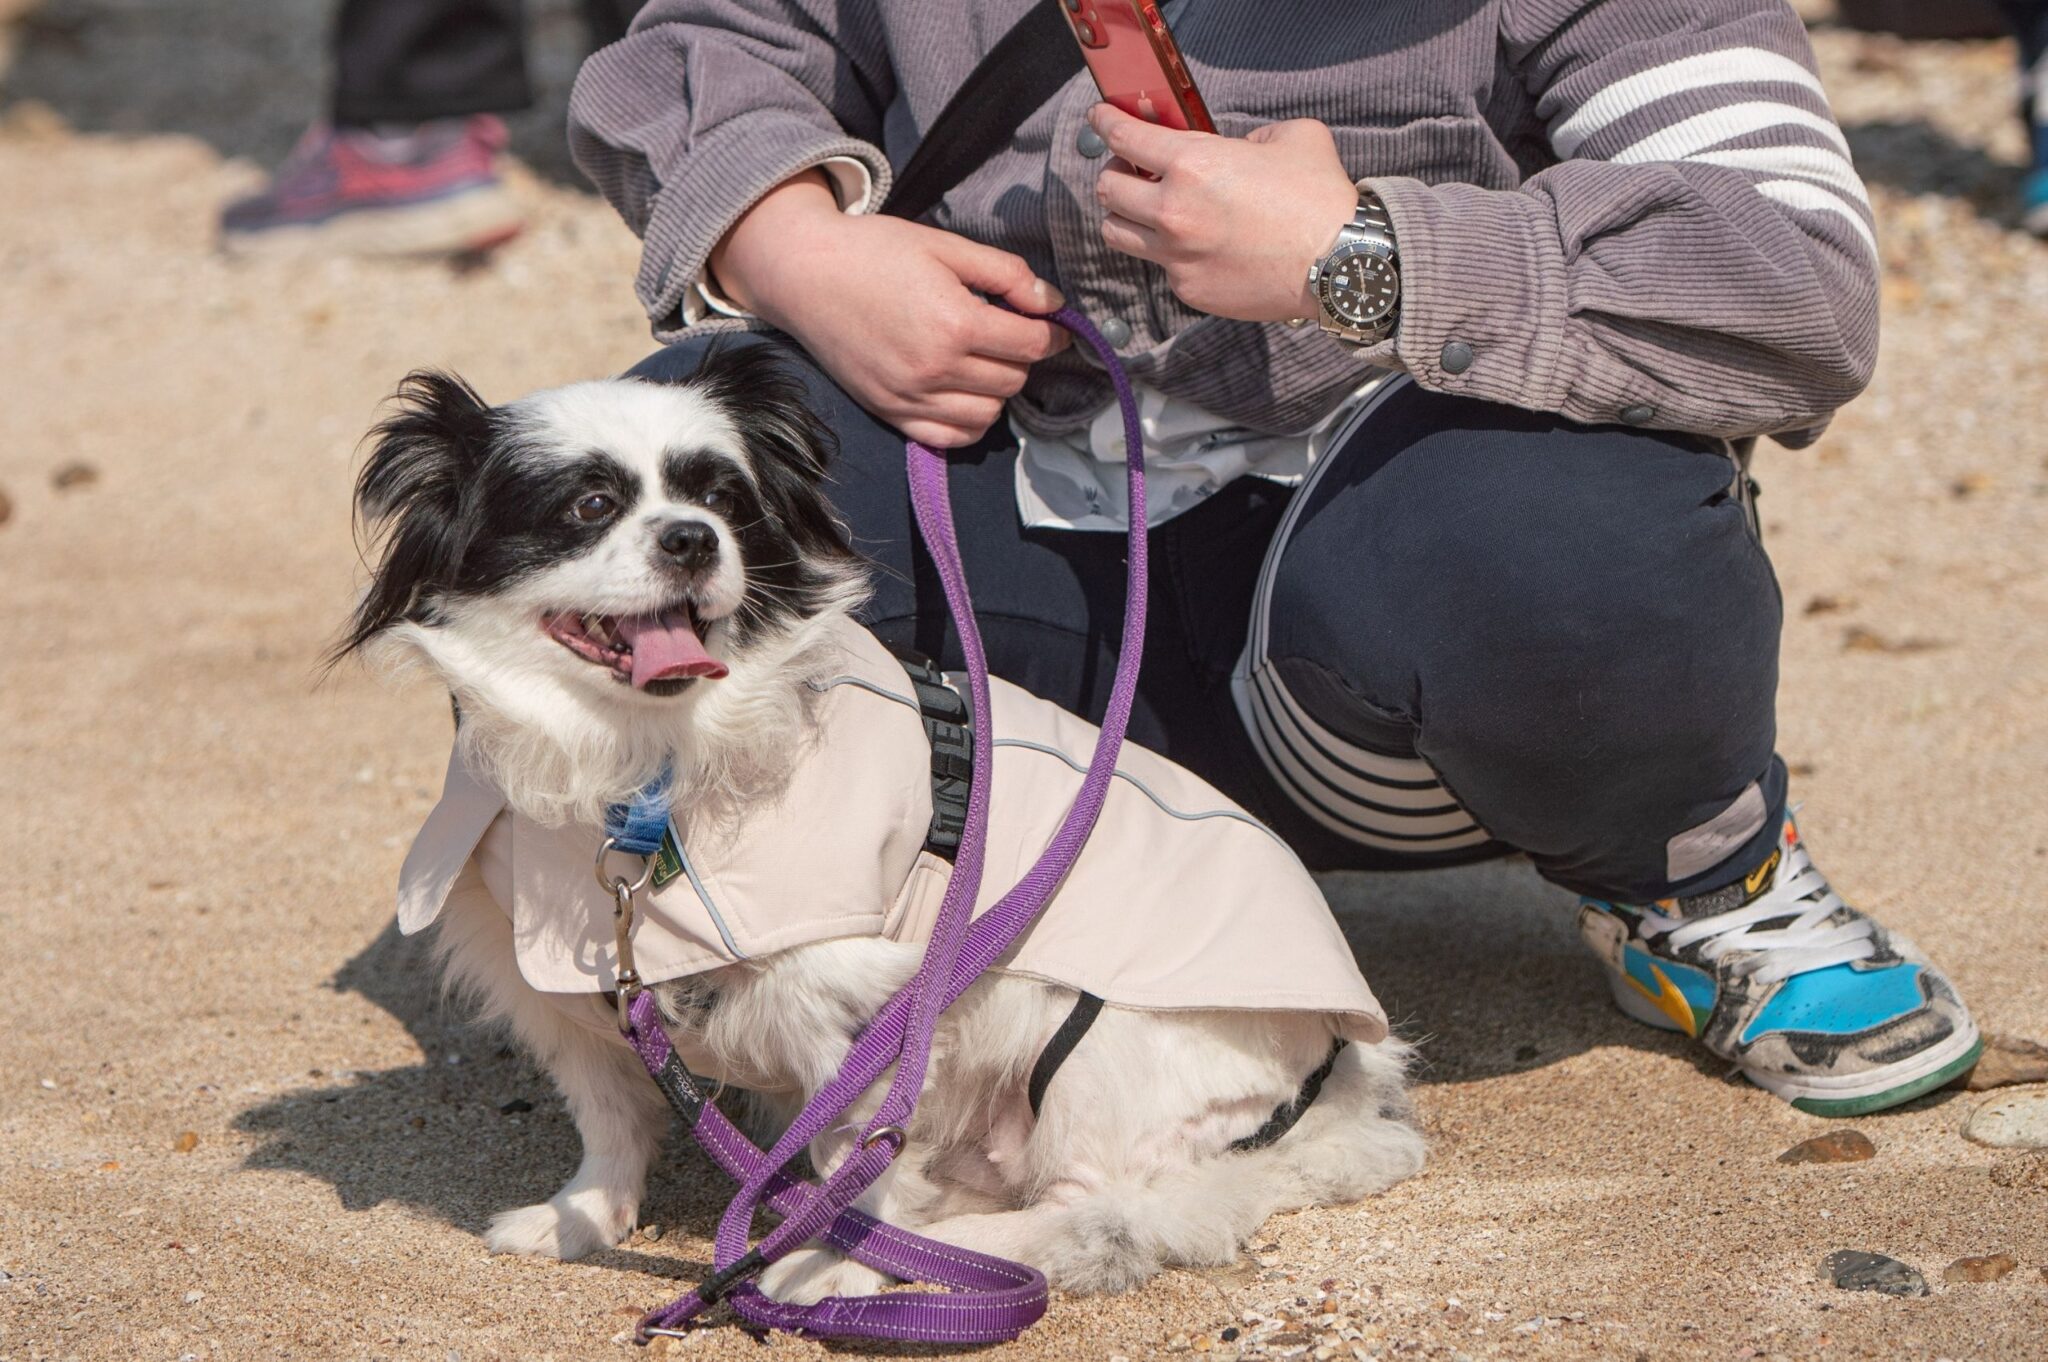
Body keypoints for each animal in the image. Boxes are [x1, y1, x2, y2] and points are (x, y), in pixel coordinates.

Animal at [339, 346, 1425, 1302]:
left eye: (725, 501)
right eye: (589, 506)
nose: (692, 537)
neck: (644, 777)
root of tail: (1342, 1077)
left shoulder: (856, 1003)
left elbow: (855, 1155)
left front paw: (838, 1264)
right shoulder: (562, 988)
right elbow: (610, 1114)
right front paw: (584, 1218)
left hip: (1098, 1045)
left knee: (1111, 1207)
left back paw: (962, 1252)